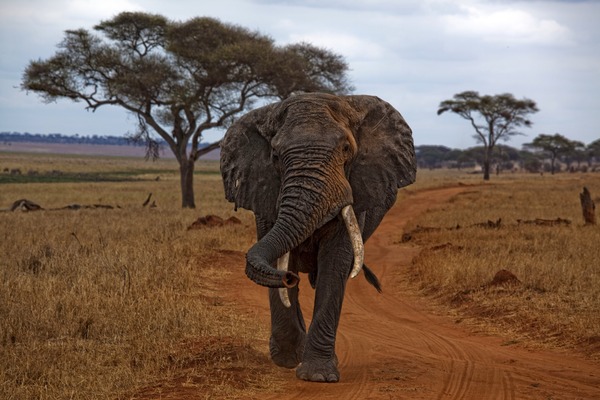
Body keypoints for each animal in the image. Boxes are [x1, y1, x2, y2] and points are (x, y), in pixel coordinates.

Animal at [220, 92, 418, 382]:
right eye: (275, 155)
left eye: (346, 149)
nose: (288, 279)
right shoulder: (264, 189)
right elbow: (279, 256)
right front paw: (287, 360)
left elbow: (334, 264)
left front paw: (317, 375)